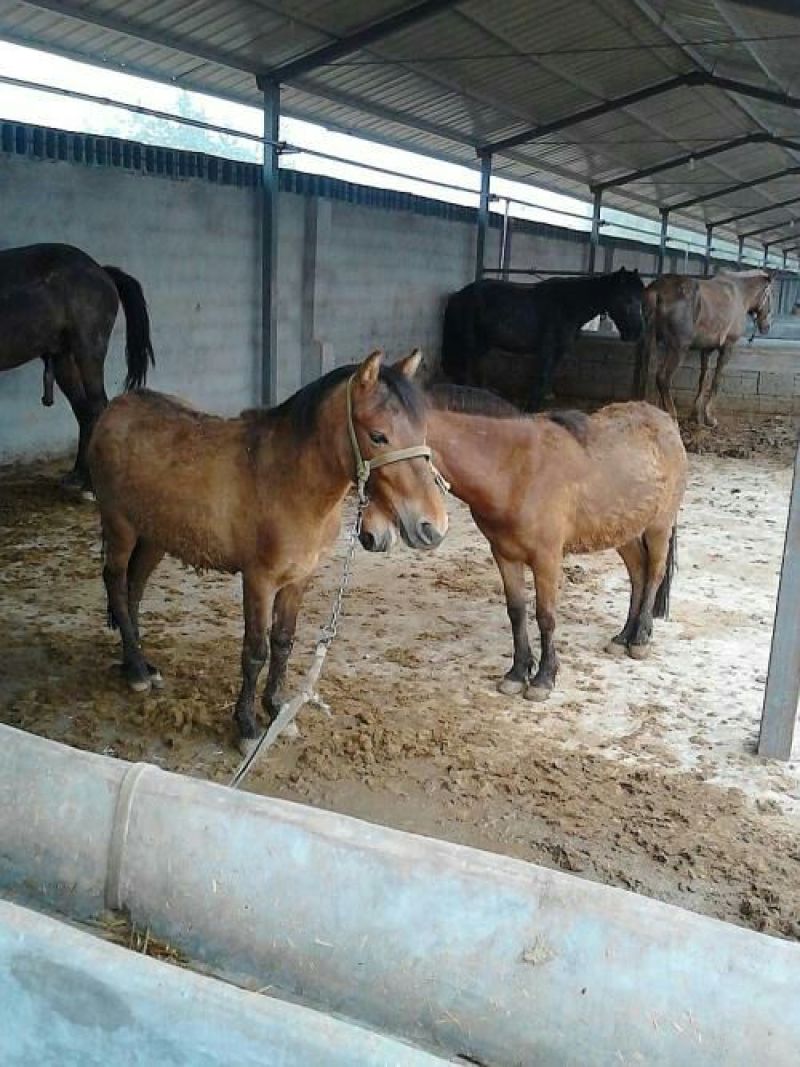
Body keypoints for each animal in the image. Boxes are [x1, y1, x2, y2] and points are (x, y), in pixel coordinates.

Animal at [0, 243, 154, 492]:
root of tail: (100, 270)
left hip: (88, 349)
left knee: (97, 406)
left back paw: (90, 485)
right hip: (64, 358)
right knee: (84, 411)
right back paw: (78, 476)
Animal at [88, 350, 449, 752]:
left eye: (422, 432)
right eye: (378, 436)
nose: (432, 527)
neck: (287, 481)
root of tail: (118, 406)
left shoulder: (298, 578)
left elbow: (283, 642)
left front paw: (276, 710)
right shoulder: (259, 581)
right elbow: (255, 652)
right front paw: (246, 727)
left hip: (156, 537)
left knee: (134, 587)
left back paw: (138, 662)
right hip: (121, 527)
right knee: (116, 584)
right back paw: (136, 669)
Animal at [360, 385, 687, 702]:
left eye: (380, 442)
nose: (369, 535)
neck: (515, 471)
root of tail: (665, 420)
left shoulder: (547, 559)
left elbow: (546, 616)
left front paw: (544, 678)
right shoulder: (504, 555)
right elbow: (516, 612)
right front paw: (517, 674)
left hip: (658, 527)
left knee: (654, 574)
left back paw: (640, 639)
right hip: (623, 531)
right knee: (638, 574)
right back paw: (623, 637)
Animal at [440, 268, 645, 410]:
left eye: (640, 299)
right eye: (625, 298)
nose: (637, 332)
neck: (568, 305)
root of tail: (458, 295)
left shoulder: (558, 353)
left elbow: (547, 379)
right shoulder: (547, 350)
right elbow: (542, 377)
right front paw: (531, 408)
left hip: (482, 344)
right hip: (470, 343)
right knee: (466, 369)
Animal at [640, 269, 773, 427]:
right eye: (770, 296)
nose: (766, 327)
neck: (740, 293)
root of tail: (658, 290)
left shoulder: (706, 349)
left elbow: (703, 380)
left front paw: (697, 415)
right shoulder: (727, 347)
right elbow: (716, 381)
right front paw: (709, 417)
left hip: (655, 343)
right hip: (678, 348)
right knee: (663, 379)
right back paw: (672, 417)